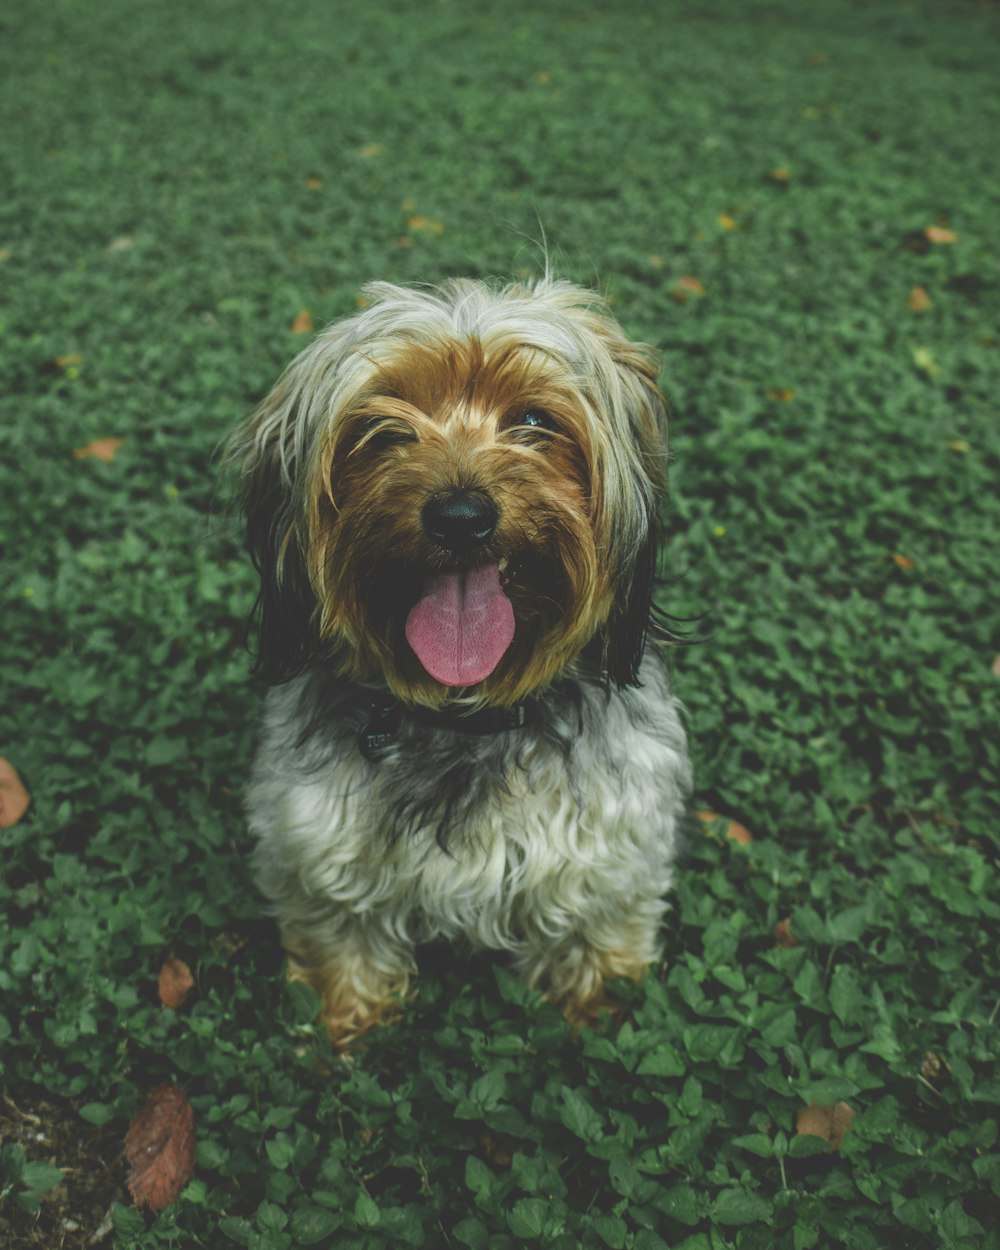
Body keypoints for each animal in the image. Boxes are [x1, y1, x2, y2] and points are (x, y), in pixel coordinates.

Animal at [230, 273, 690, 1045]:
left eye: (534, 421)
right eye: (385, 427)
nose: (461, 518)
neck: (466, 717)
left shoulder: (608, 842)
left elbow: (595, 923)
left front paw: (597, 1008)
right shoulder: (319, 843)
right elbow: (339, 935)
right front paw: (344, 1021)